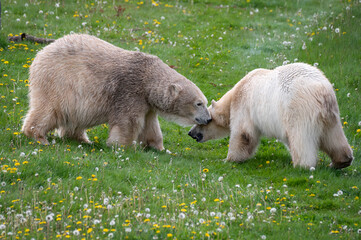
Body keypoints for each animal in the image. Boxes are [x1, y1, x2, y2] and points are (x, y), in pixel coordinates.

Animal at [22, 33, 211, 150]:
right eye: (199, 103)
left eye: (205, 102)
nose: (208, 119)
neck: (148, 76)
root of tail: (41, 53)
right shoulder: (130, 91)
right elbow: (129, 121)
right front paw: (123, 146)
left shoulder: (147, 102)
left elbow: (150, 125)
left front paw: (158, 147)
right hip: (59, 81)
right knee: (49, 110)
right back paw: (38, 136)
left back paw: (81, 139)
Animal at [188, 62, 352, 170]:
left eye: (204, 121)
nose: (191, 133)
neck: (236, 92)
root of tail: (321, 92)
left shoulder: (244, 105)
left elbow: (243, 133)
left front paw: (229, 159)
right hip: (331, 114)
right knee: (334, 136)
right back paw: (341, 161)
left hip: (298, 109)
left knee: (300, 137)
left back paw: (301, 165)